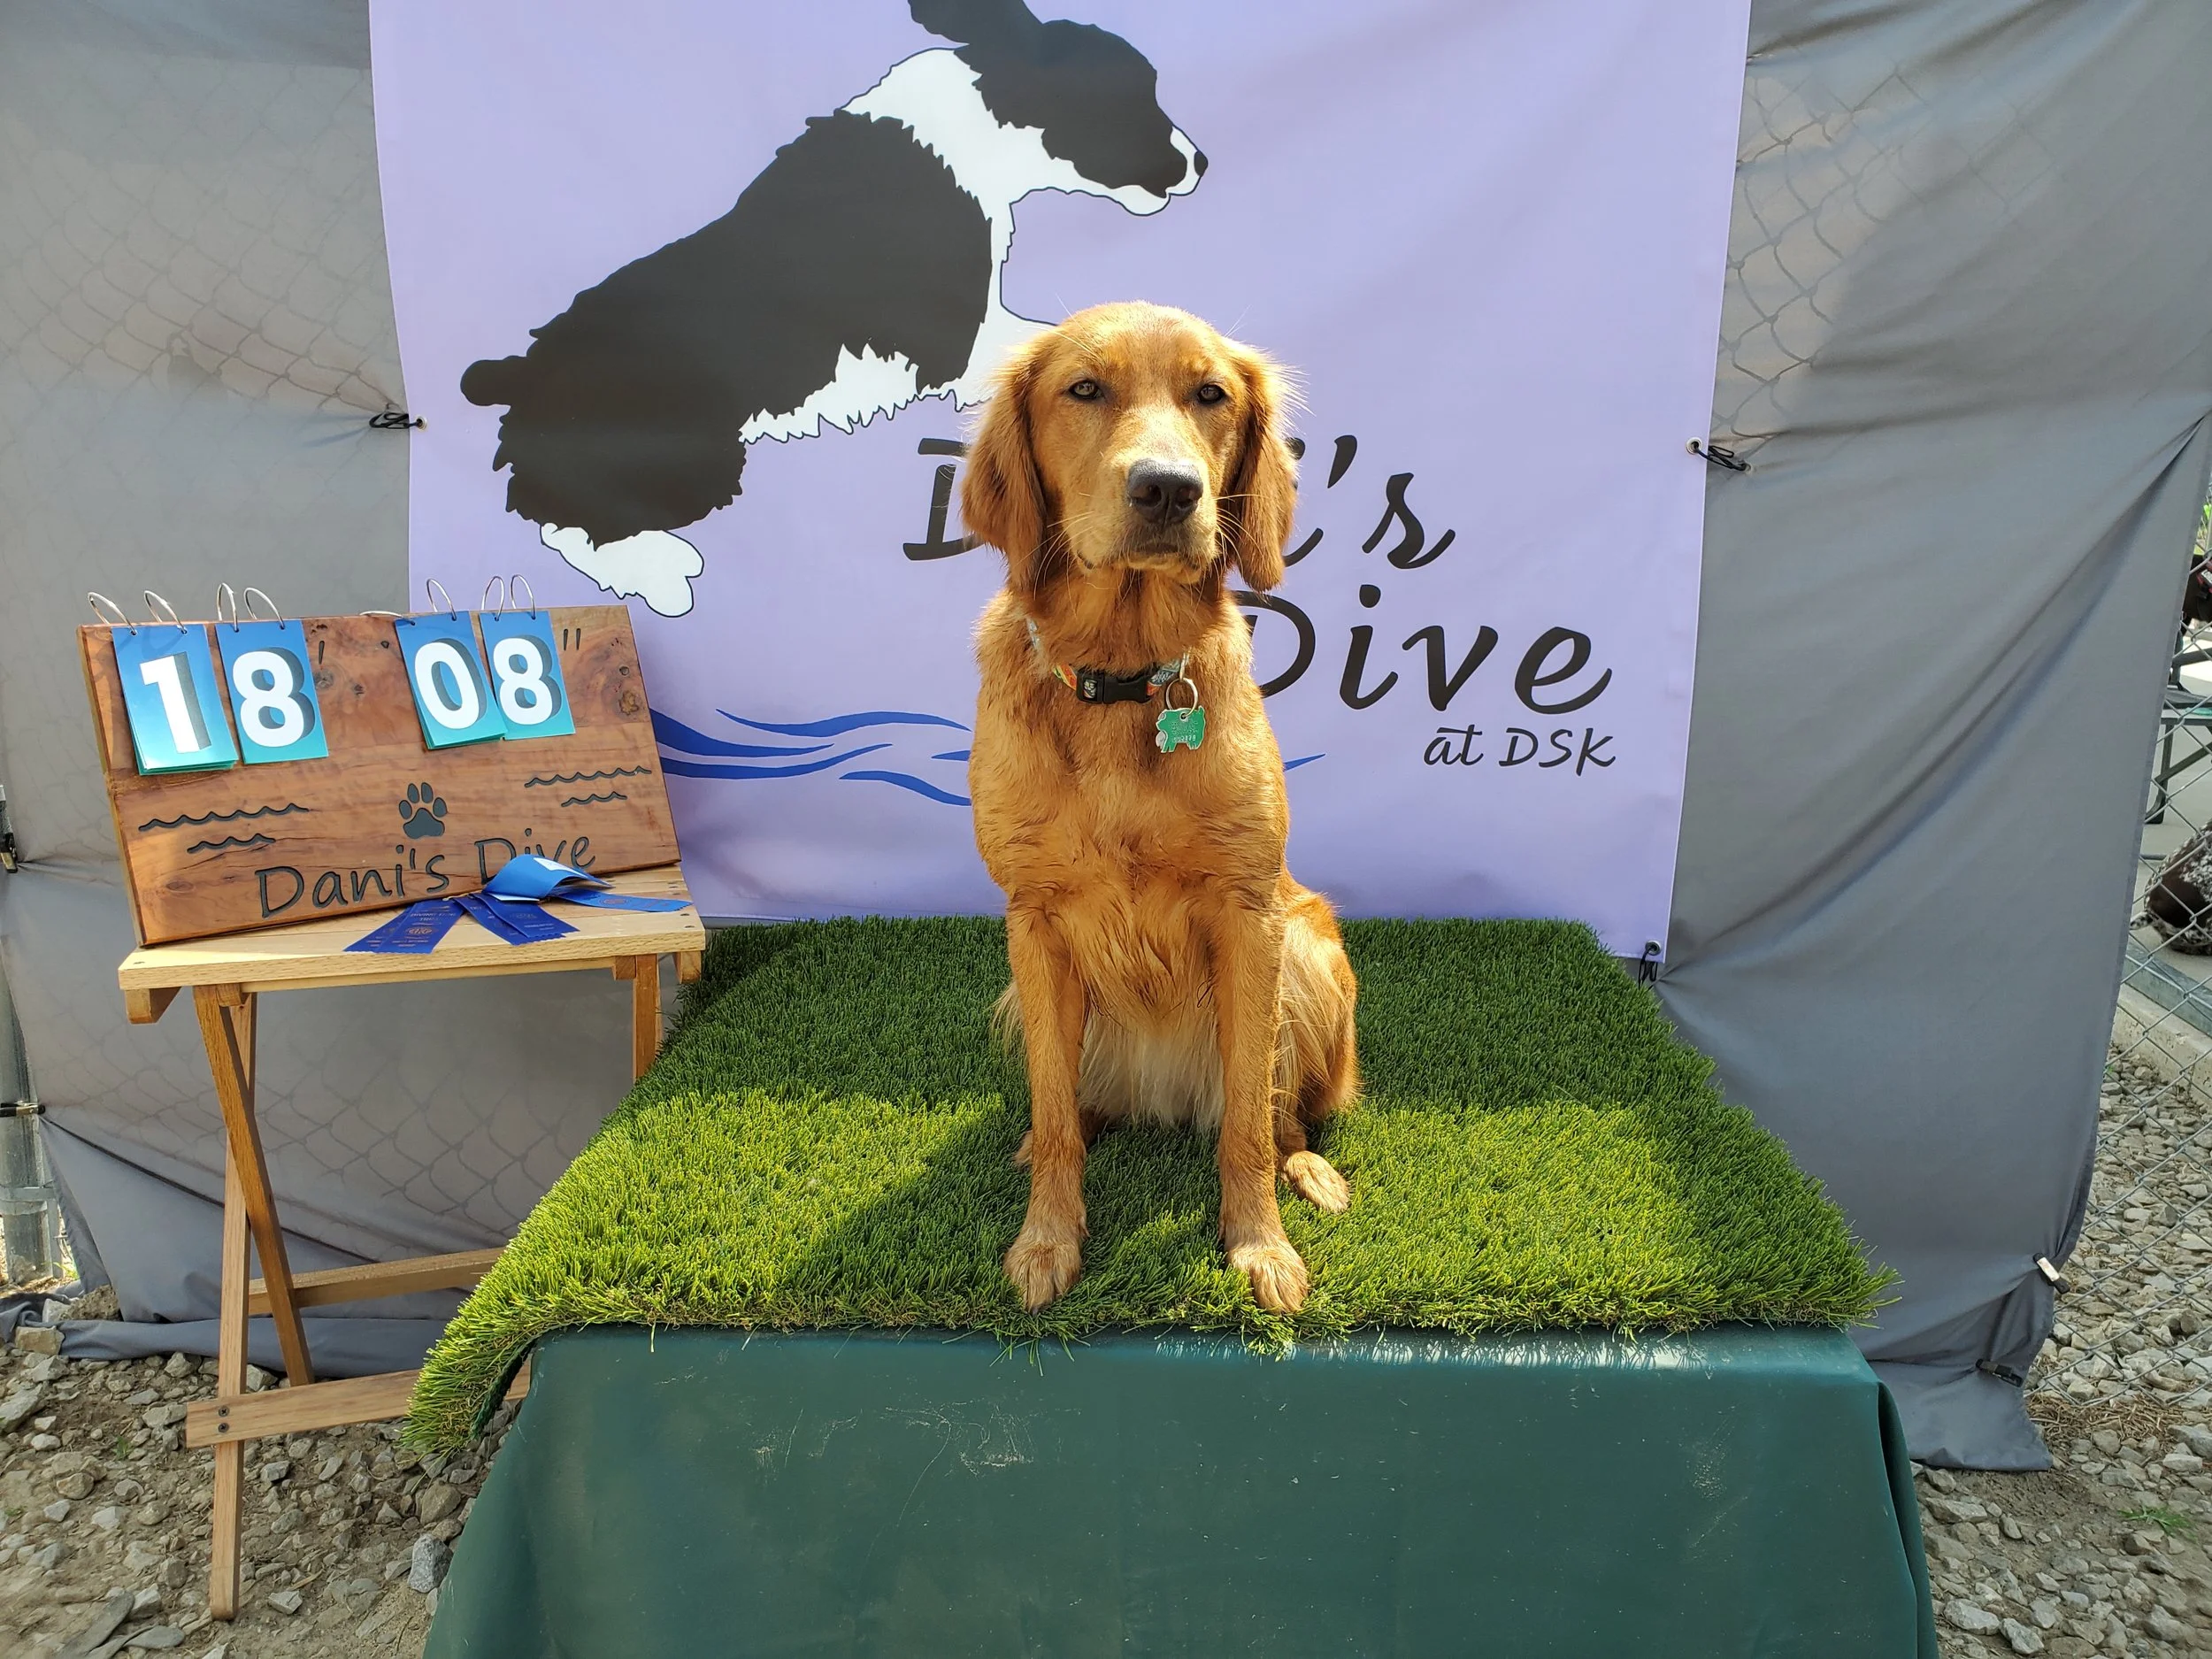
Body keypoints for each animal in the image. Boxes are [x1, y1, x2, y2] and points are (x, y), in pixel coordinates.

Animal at [459, 0, 1203, 618]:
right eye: (1127, 93)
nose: (1198, 163)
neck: (976, 128)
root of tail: (520, 374)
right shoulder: (956, 333)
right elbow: (1029, 347)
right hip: (694, 455)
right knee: (570, 519)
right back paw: (664, 571)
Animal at [961, 301, 1359, 1315]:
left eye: (1209, 394)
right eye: (1084, 389)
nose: (1169, 489)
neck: (1123, 676)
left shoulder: (1250, 913)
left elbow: (1248, 1129)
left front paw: (1258, 1244)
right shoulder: (1033, 919)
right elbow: (1058, 1114)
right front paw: (1048, 1237)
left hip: (1311, 953)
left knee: (1276, 1112)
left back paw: (1309, 1169)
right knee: (1072, 1106)